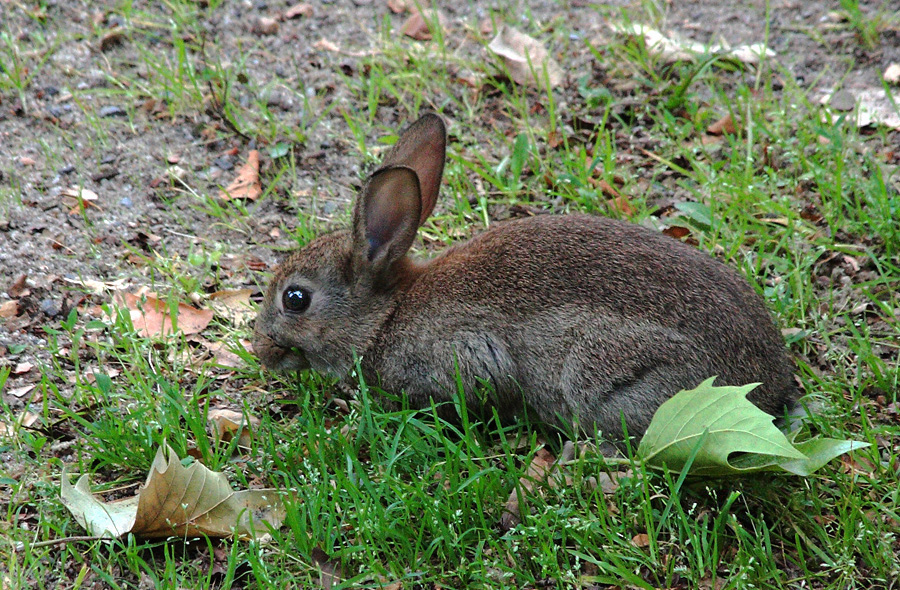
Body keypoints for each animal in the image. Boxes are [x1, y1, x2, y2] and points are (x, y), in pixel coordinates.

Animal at [250, 114, 800, 444]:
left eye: (295, 299)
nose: (261, 350)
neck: (385, 315)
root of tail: (770, 384)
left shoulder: (463, 355)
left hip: (613, 377)